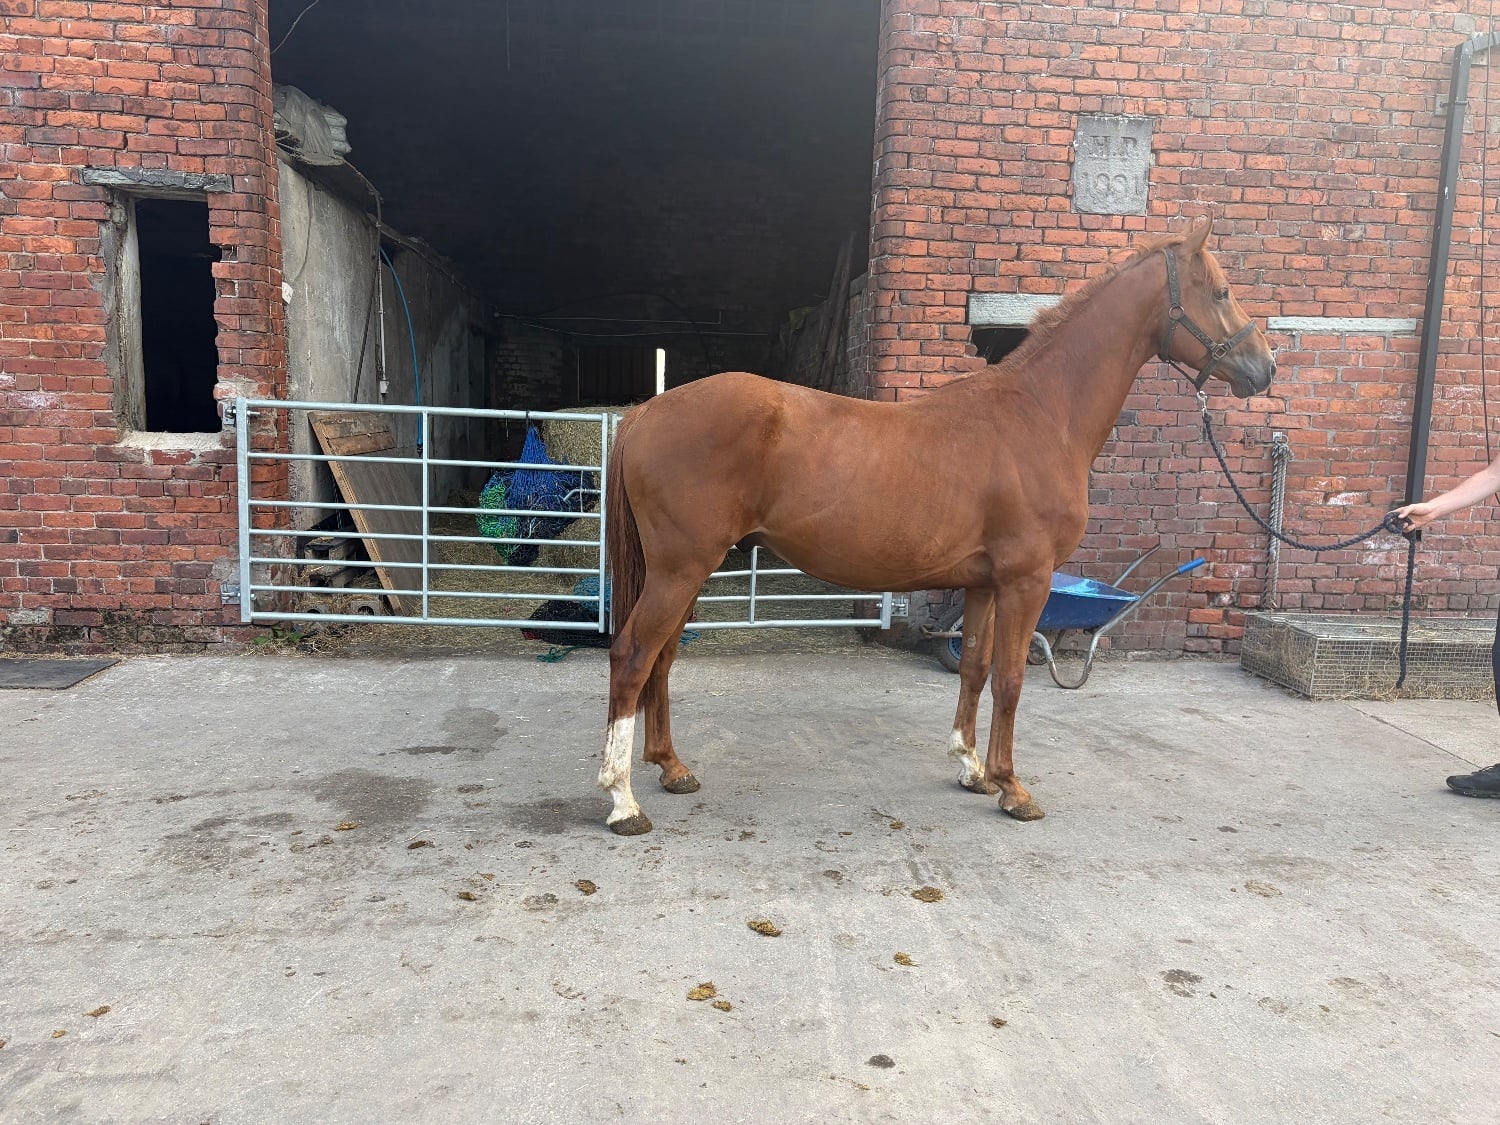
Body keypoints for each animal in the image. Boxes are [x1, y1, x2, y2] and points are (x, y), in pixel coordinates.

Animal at [597, 214, 1275, 835]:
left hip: (683, 571)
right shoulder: (1027, 581)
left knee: (661, 659)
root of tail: (647, 410)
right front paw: (1012, 788)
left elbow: (974, 668)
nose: (1263, 368)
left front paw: (972, 769)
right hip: (682, 567)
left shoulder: (983, 585)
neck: (1039, 414)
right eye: (1220, 292)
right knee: (633, 655)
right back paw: (622, 801)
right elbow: (1010, 679)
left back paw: (672, 769)